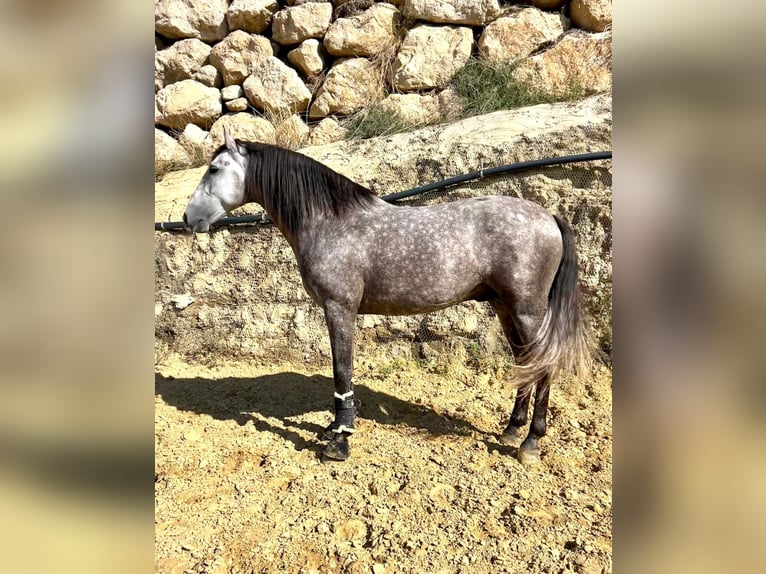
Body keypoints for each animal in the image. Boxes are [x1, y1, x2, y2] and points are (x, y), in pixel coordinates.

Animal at [183, 129, 592, 464]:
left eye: (215, 169)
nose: (188, 218)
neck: (331, 220)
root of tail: (550, 217)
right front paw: (335, 429)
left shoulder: (340, 309)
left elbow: (342, 371)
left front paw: (339, 440)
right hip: (505, 308)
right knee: (525, 362)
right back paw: (511, 430)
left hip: (528, 311)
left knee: (543, 366)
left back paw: (531, 443)